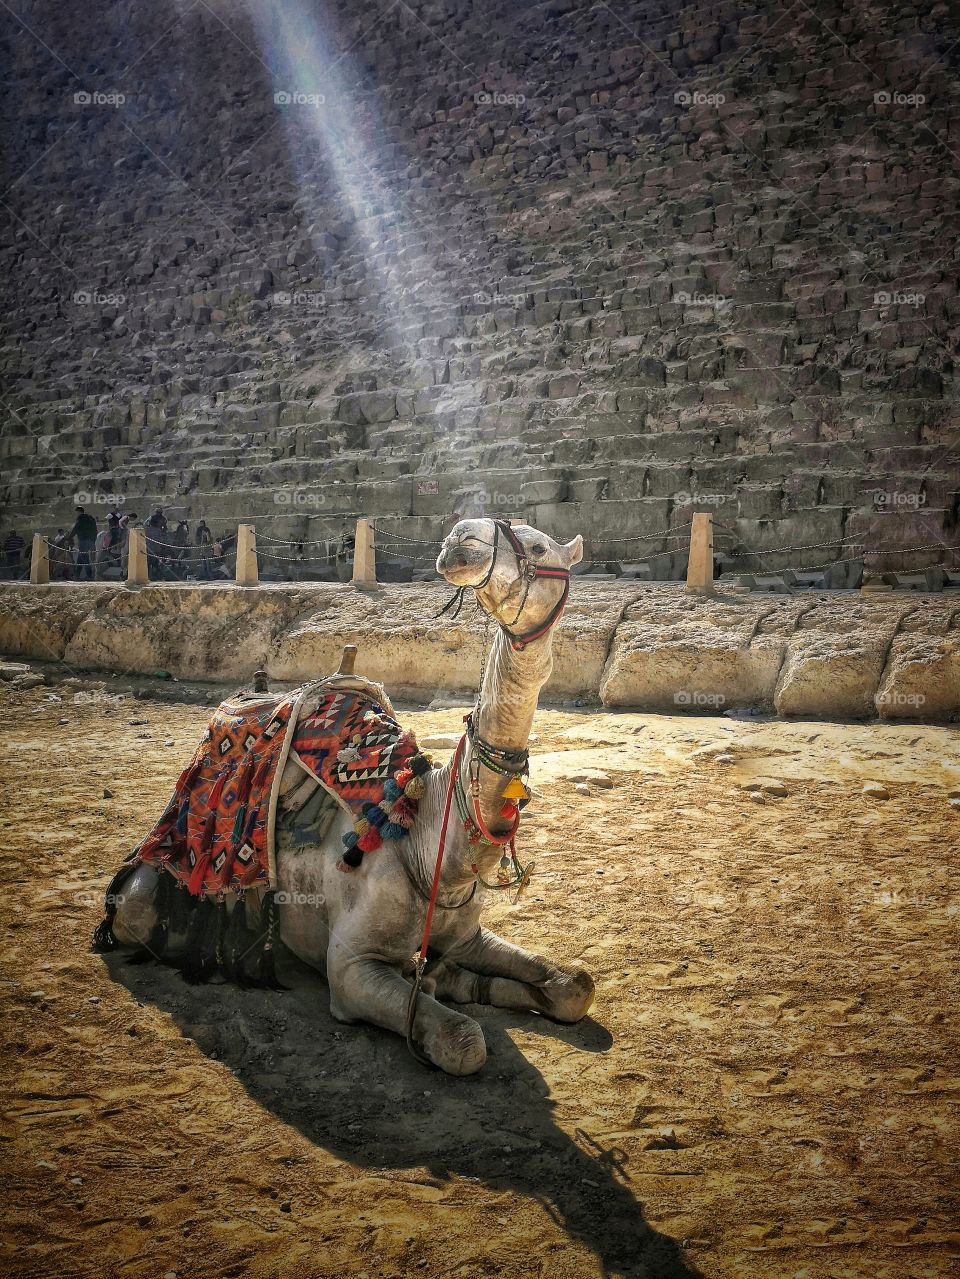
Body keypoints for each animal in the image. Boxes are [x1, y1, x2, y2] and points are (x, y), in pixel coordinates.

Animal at [102, 518, 594, 1075]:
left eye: (538, 546)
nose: (460, 539)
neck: (427, 840)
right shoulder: (350, 968)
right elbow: (464, 1040)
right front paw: (445, 997)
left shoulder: (465, 934)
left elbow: (576, 985)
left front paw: (454, 979)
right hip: (148, 898)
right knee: (143, 916)